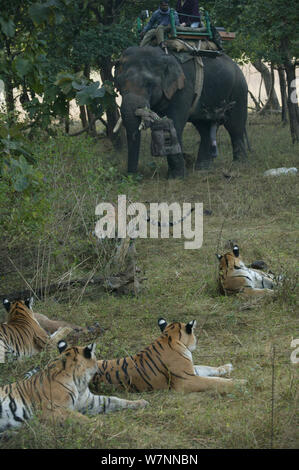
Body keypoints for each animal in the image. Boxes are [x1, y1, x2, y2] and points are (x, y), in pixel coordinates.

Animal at [0, 340, 149, 432]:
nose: (99, 368)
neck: (79, 384)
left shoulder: (88, 402)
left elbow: (113, 400)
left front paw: (141, 402)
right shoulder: (53, 410)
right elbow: (81, 418)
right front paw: (100, 425)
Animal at [91, 318, 244, 394]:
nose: (197, 341)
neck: (169, 336)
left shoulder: (190, 370)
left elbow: (207, 368)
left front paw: (227, 367)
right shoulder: (187, 380)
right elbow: (214, 381)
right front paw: (240, 382)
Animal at [115, 46, 248, 178]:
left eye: (149, 84)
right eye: (119, 84)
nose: (132, 176)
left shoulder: (184, 88)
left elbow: (175, 125)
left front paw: (176, 177)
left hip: (239, 89)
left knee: (235, 126)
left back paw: (239, 164)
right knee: (204, 127)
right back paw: (202, 168)